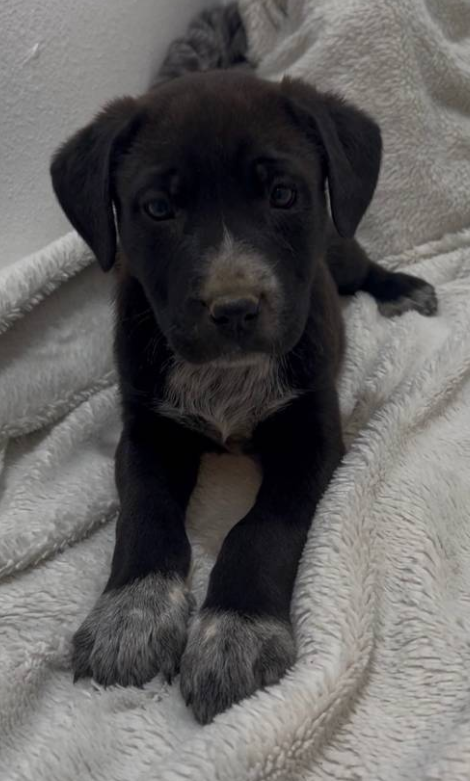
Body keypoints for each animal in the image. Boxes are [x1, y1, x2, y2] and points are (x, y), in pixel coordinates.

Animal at [51, 70, 437, 724]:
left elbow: (261, 529)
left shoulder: (312, 439)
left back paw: (401, 287)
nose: (233, 309)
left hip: (339, 245)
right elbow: (145, 513)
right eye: (158, 209)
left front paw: (236, 632)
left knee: (361, 264)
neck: (227, 375)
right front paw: (131, 616)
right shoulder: (147, 433)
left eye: (282, 195)